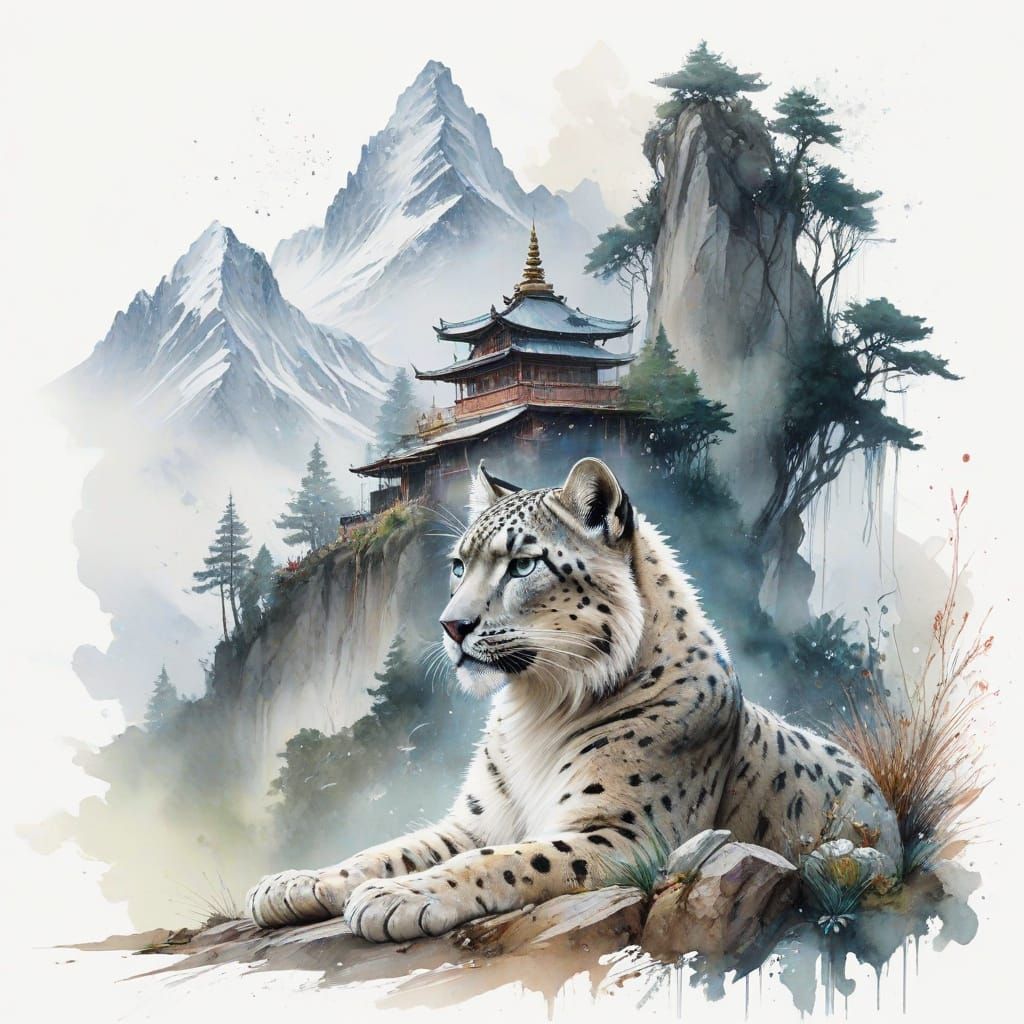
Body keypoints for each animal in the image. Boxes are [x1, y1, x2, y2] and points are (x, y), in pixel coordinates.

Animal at [246, 457, 900, 942]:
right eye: (459, 565)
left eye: (522, 564)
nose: (451, 625)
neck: (535, 708)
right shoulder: (478, 819)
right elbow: (396, 848)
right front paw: (294, 884)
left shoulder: (624, 832)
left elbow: (507, 859)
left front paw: (395, 896)